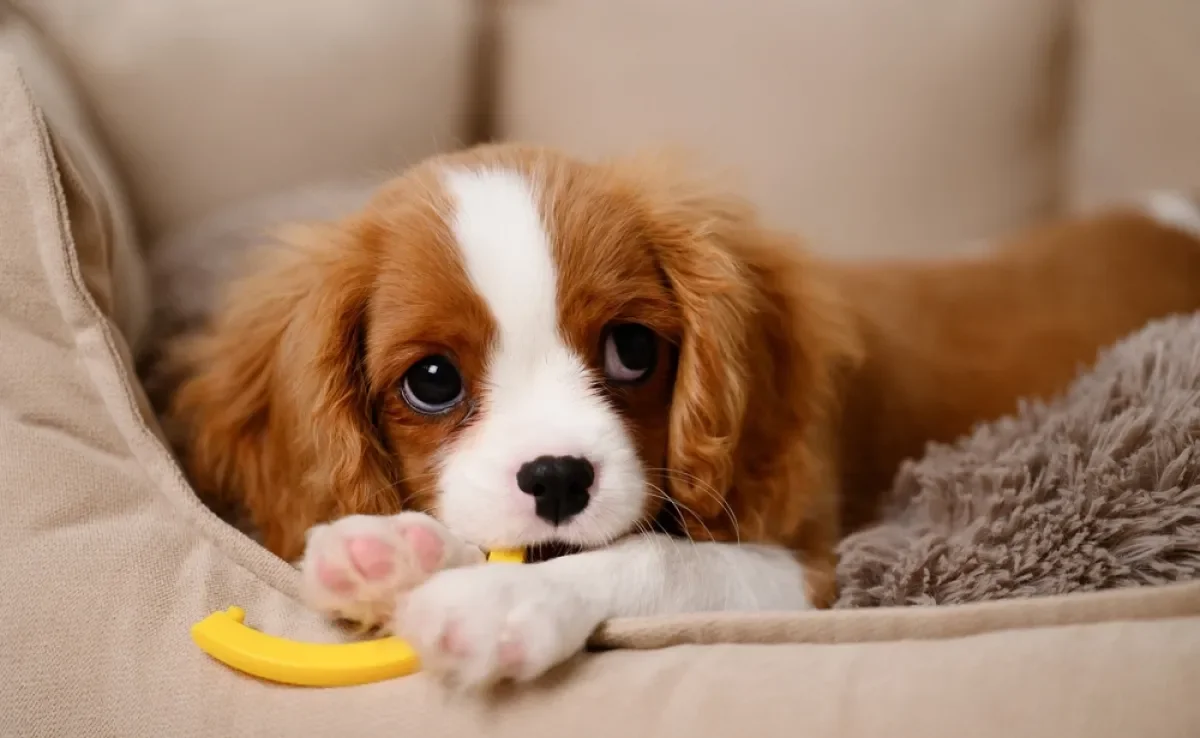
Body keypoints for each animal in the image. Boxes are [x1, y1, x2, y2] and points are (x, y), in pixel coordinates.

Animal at [166, 142, 1200, 686]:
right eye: (430, 380)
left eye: (633, 349)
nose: (557, 479)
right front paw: (389, 549)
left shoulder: (813, 569)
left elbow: (653, 560)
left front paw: (504, 601)